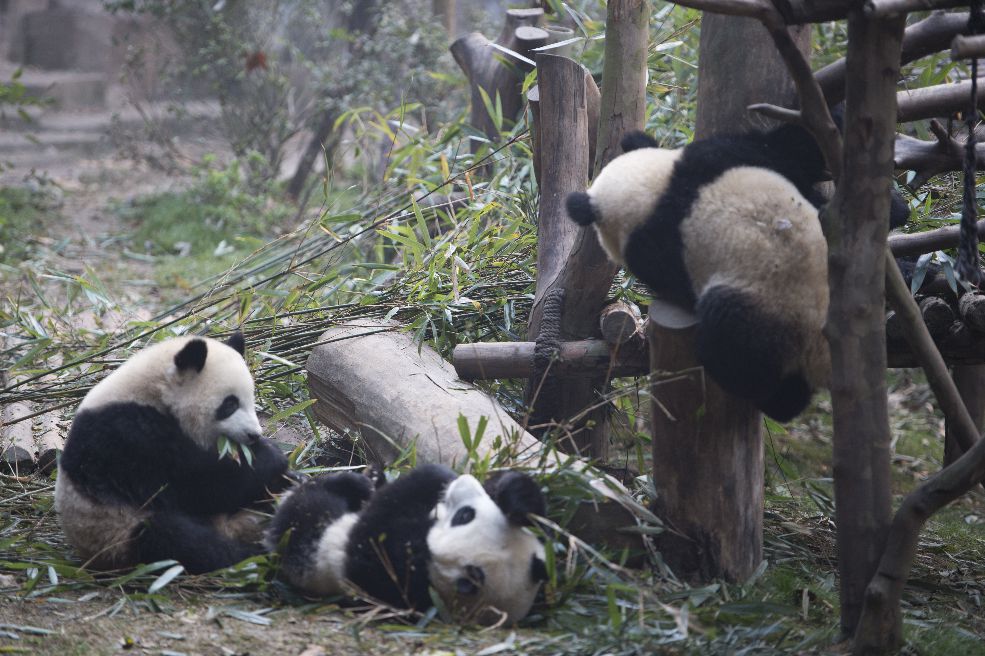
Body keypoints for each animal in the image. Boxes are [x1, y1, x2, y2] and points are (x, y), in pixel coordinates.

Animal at [55, 333, 293, 574]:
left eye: (251, 400)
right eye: (230, 404)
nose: (254, 435)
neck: (153, 392)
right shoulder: (130, 438)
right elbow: (200, 484)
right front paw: (271, 457)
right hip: (116, 532)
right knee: (176, 541)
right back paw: (254, 557)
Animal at [267, 464, 548, 625]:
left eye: (464, 516)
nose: (463, 481)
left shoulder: (395, 574)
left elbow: (380, 524)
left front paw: (433, 475)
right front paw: (518, 497)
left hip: (305, 538)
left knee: (311, 502)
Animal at [566, 123, 909, 422]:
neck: (655, 194)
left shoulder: (657, 238)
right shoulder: (722, 161)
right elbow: (787, 152)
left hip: (770, 317)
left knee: (730, 333)